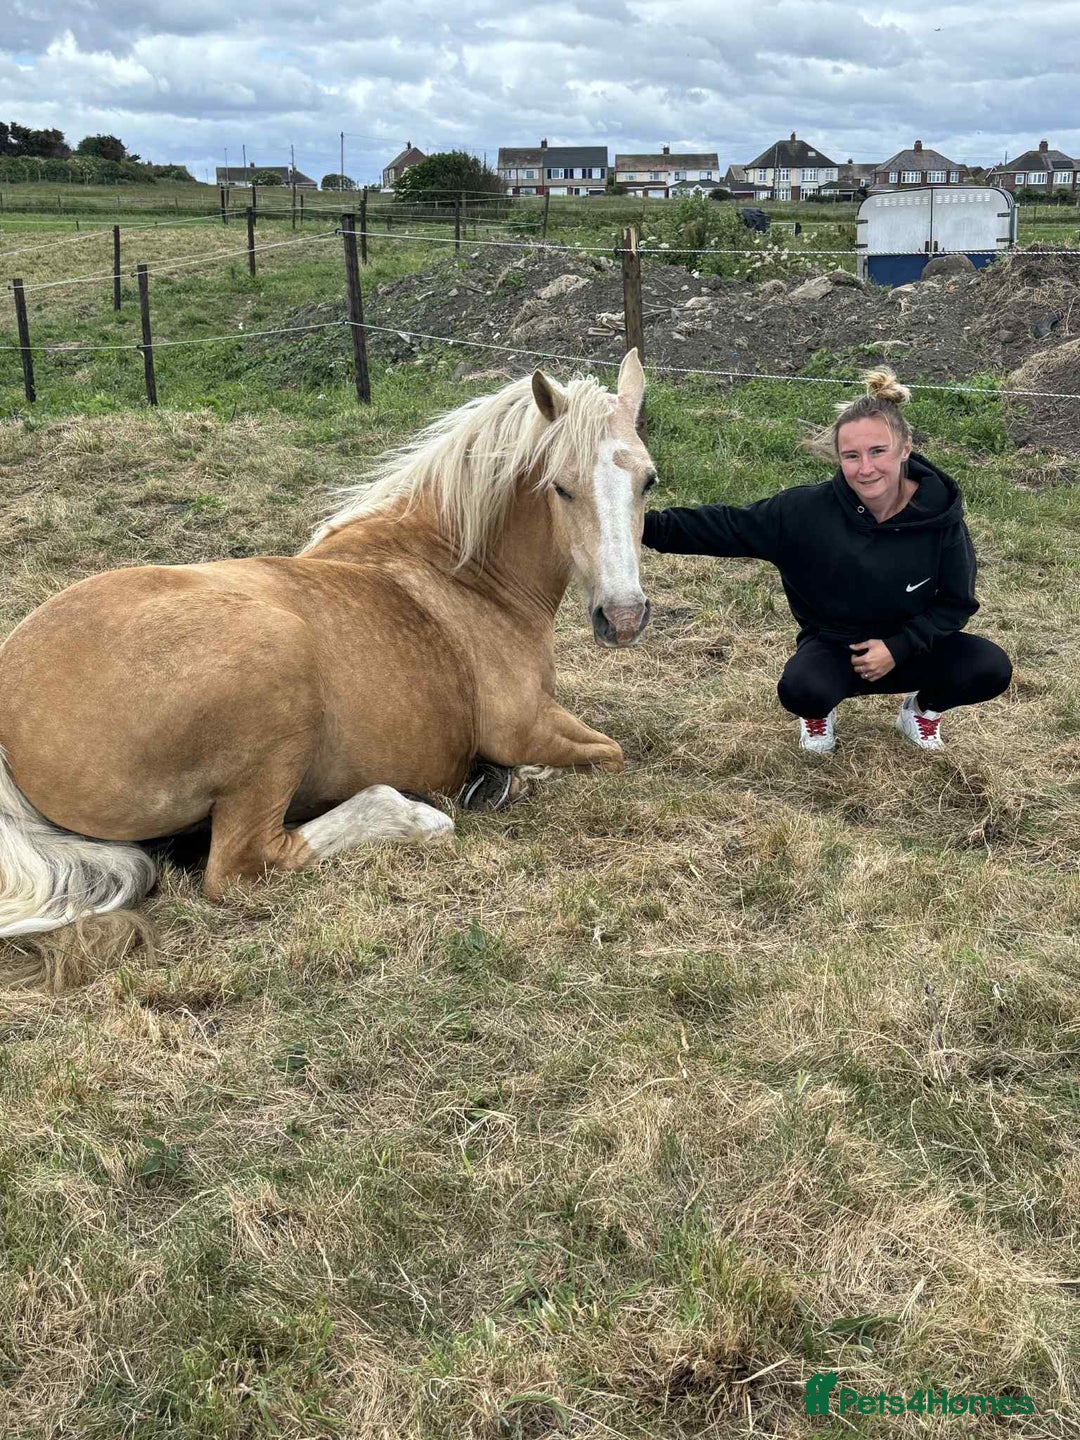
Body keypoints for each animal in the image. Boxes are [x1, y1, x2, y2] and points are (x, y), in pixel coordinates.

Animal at [0, 349, 655, 947]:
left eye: (648, 480)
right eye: (560, 487)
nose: (623, 618)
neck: (464, 575)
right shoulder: (529, 728)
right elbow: (610, 752)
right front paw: (512, 779)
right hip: (277, 680)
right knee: (245, 861)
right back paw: (414, 812)